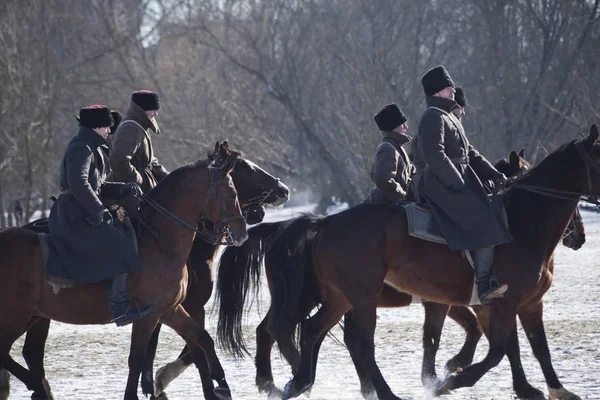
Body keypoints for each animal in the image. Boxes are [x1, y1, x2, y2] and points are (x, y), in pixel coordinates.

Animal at [0, 141, 290, 400]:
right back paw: (34, 385)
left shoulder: (171, 309)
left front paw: (218, 385)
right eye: (234, 188)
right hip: (16, 316)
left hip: (35, 317)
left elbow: (200, 340)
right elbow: (142, 358)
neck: (160, 240)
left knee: (28, 354)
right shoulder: (151, 315)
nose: (283, 190)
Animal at [213, 149, 588, 396]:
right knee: (297, 332)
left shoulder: (474, 303)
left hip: (330, 299)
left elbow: (480, 339)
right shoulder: (468, 302)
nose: (580, 236)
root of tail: (317, 224)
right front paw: (448, 373)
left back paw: (290, 381)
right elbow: (463, 339)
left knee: (287, 330)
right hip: (327, 298)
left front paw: (449, 372)